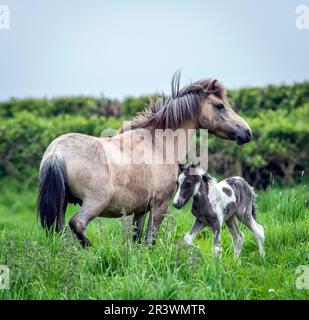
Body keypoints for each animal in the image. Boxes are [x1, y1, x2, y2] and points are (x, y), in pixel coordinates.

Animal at [38, 73, 250, 248]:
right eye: (220, 105)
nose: (247, 132)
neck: (159, 144)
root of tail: (56, 152)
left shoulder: (140, 209)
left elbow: (136, 238)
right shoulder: (160, 206)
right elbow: (150, 239)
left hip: (62, 204)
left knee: (59, 231)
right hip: (95, 203)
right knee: (77, 224)